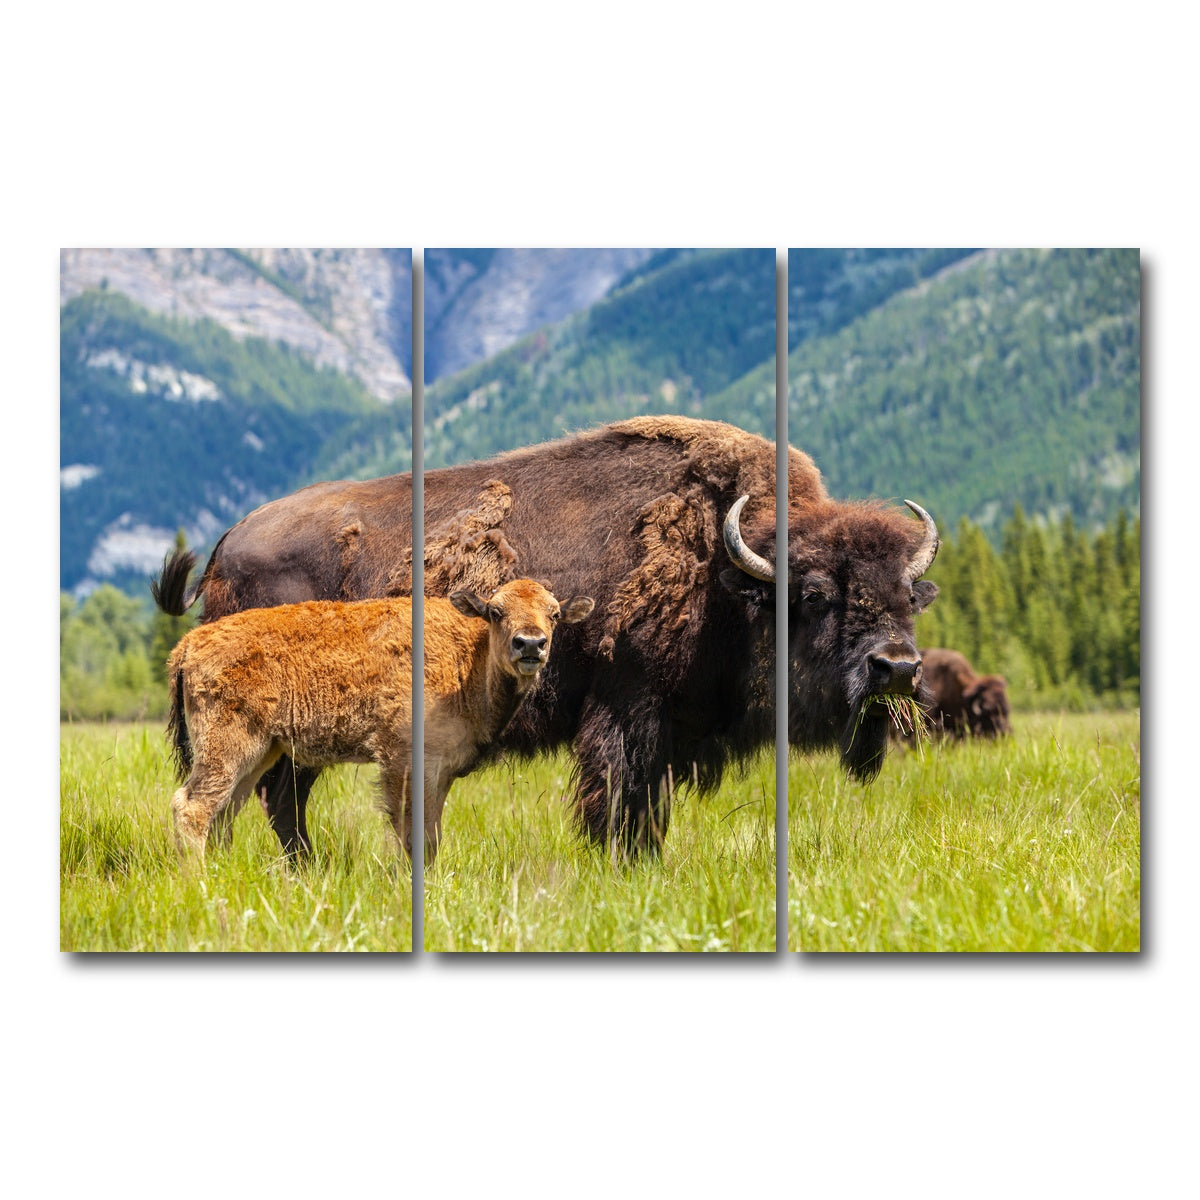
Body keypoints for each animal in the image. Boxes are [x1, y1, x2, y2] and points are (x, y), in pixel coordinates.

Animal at [165, 579, 592, 860]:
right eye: (496, 612)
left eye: (555, 614)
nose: (530, 644)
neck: (469, 656)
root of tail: (188, 644)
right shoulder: (404, 762)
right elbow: (413, 832)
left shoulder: (441, 770)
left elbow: (432, 832)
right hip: (227, 748)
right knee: (193, 807)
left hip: (259, 752)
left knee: (225, 811)